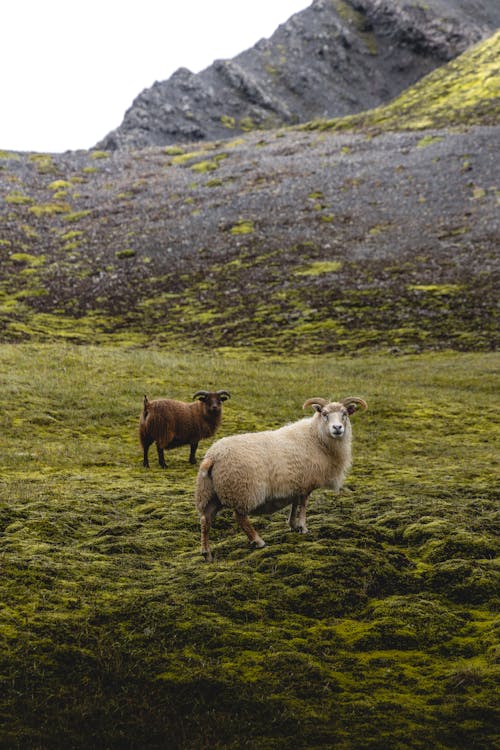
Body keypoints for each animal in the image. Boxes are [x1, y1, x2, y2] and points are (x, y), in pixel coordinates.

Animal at [195, 396, 368, 560]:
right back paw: (258, 541)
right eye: (325, 414)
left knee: (205, 520)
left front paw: (293, 525)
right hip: (243, 491)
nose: (337, 428)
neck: (316, 437)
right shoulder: (306, 483)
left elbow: (294, 503)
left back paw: (206, 553)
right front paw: (303, 527)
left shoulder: (297, 482)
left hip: (210, 493)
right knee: (239, 517)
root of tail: (213, 456)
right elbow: (303, 505)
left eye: (345, 414)